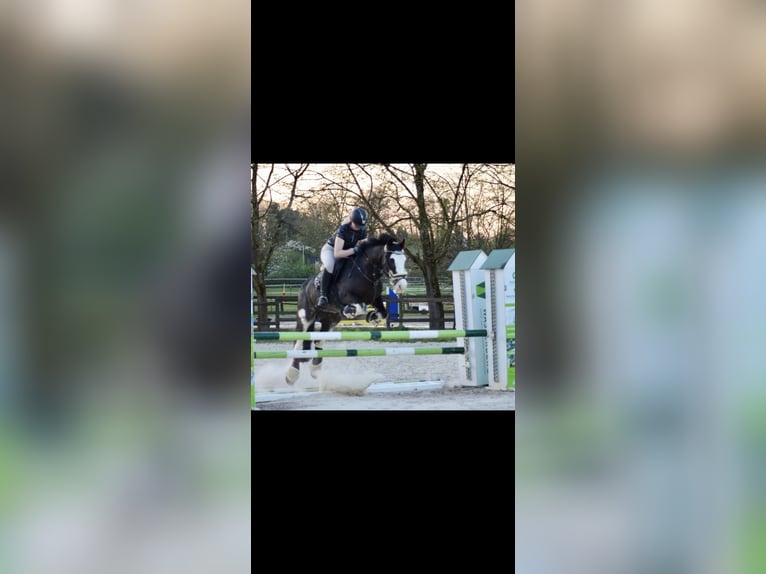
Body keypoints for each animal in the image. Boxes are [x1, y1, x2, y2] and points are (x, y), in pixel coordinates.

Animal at [285, 233, 408, 384]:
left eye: (404, 260)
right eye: (391, 260)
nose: (402, 286)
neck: (366, 272)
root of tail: (304, 285)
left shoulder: (375, 299)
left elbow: (383, 313)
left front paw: (372, 316)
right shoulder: (347, 297)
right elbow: (359, 306)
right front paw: (350, 311)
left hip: (330, 319)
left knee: (319, 340)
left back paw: (315, 371)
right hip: (305, 316)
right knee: (297, 340)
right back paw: (291, 374)